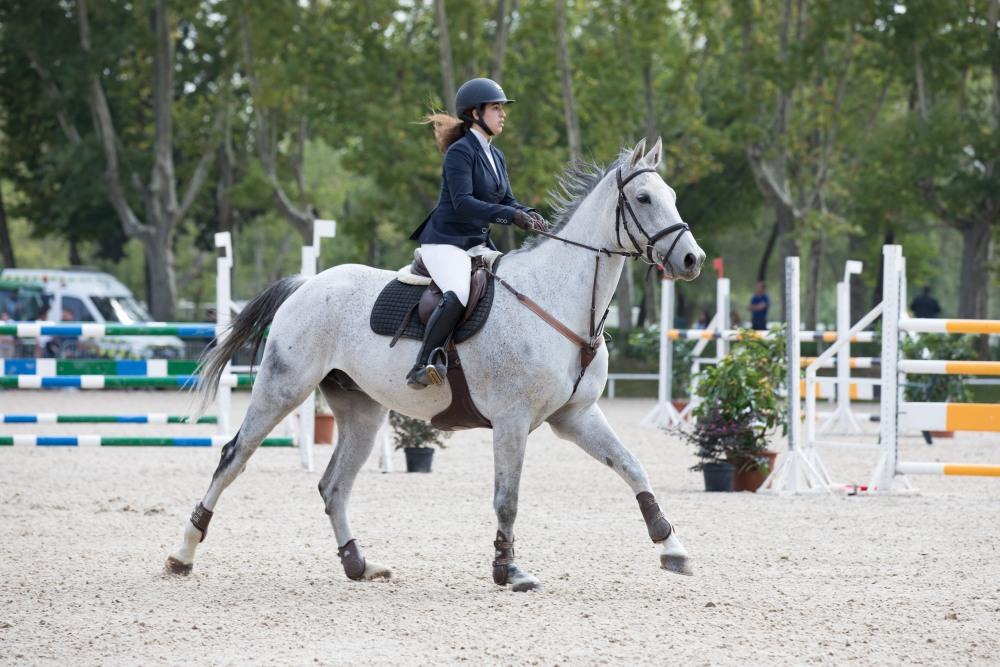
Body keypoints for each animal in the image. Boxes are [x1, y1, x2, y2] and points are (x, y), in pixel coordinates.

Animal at [166, 138, 704, 592]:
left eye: (673, 195)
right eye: (644, 199)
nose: (693, 260)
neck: (559, 299)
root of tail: (308, 284)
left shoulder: (575, 416)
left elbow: (632, 467)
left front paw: (673, 547)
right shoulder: (512, 420)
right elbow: (507, 499)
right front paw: (509, 571)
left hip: (362, 410)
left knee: (334, 486)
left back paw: (359, 565)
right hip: (284, 388)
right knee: (233, 458)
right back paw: (183, 554)